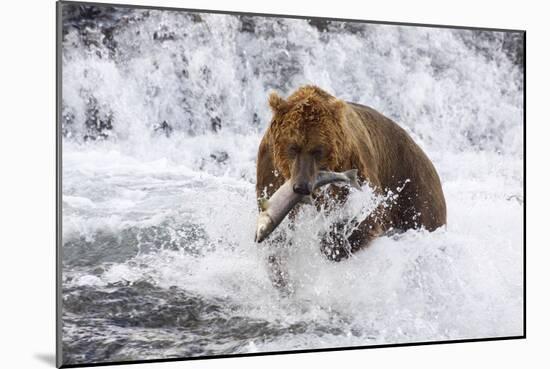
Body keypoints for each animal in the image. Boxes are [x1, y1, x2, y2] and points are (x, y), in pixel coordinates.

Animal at [256, 84, 446, 262]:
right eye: (293, 147)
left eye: (318, 150)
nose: (302, 186)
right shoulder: (270, 170)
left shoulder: (353, 162)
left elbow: (370, 216)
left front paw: (333, 244)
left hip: (413, 187)